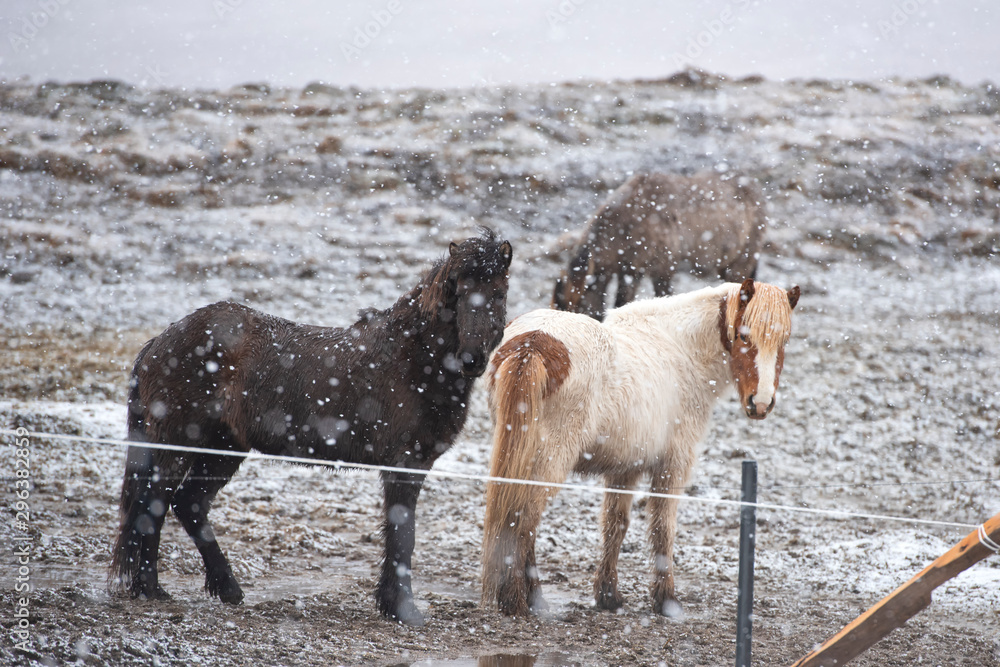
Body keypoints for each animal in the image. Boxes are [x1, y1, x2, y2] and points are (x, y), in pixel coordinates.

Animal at [111, 230, 508, 628]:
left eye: (499, 293)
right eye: (459, 291)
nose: (472, 359)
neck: (412, 359)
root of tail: (159, 343)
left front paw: (392, 605)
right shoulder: (404, 465)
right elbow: (403, 534)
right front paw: (403, 610)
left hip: (225, 449)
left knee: (188, 503)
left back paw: (225, 589)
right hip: (179, 444)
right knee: (154, 504)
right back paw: (150, 588)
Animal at [480, 280, 800, 620]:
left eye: (784, 341)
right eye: (743, 336)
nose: (761, 403)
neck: (680, 349)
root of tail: (531, 343)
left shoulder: (625, 468)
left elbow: (615, 525)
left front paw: (608, 596)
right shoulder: (673, 465)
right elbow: (663, 528)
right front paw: (667, 601)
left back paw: (532, 598)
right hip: (549, 463)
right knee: (523, 519)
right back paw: (516, 601)